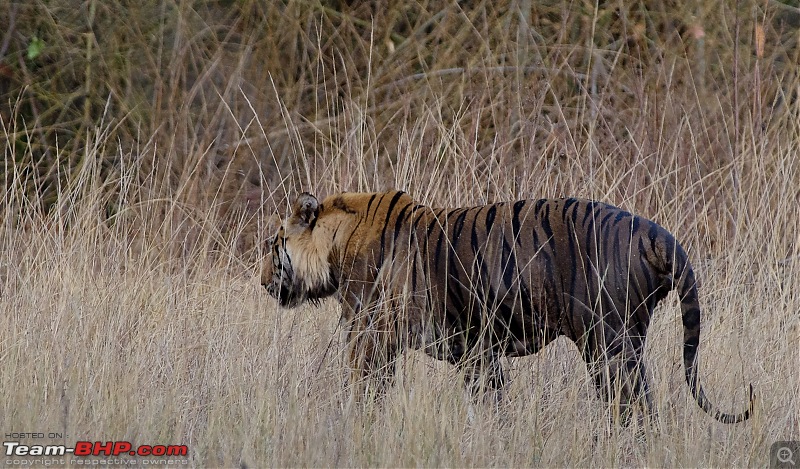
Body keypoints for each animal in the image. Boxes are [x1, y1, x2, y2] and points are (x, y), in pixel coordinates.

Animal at [264, 188, 756, 422]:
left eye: (273, 245)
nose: (264, 282)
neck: (334, 246)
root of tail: (658, 233)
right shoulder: (476, 352)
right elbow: (491, 399)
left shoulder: (371, 338)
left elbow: (365, 390)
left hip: (609, 344)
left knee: (634, 407)